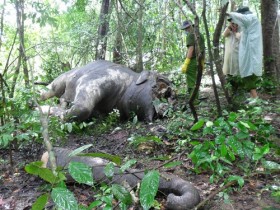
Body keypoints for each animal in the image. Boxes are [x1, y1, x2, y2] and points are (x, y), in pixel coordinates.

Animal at [40, 59, 175, 121]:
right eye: (157, 85)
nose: (170, 106)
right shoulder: (101, 77)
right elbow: (82, 109)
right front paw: (46, 110)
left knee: (62, 97)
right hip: (63, 78)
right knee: (51, 89)